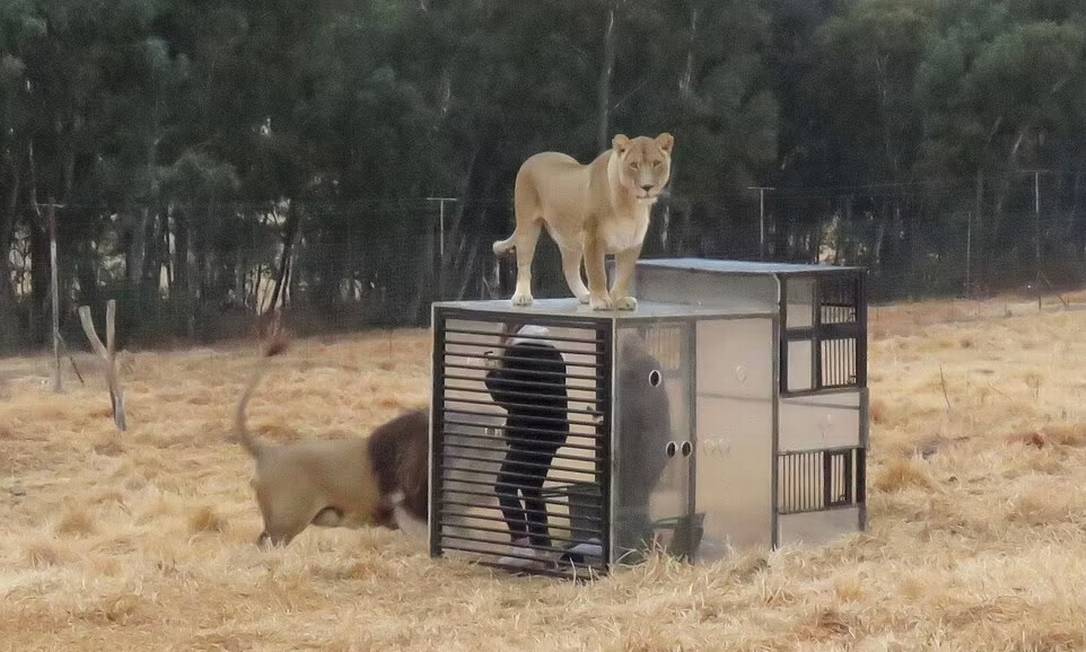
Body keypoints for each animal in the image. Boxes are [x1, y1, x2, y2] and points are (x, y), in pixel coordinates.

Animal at [493, 132, 668, 310]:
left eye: (656, 163)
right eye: (634, 165)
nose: (647, 187)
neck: (630, 204)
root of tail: (533, 157)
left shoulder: (632, 243)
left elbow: (623, 276)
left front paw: (619, 299)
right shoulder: (593, 239)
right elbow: (597, 272)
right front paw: (601, 301)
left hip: (569, 238)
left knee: (569, 269)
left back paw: (585, 295)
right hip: (527, 225)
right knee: (524, 263)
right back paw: (522, 296)